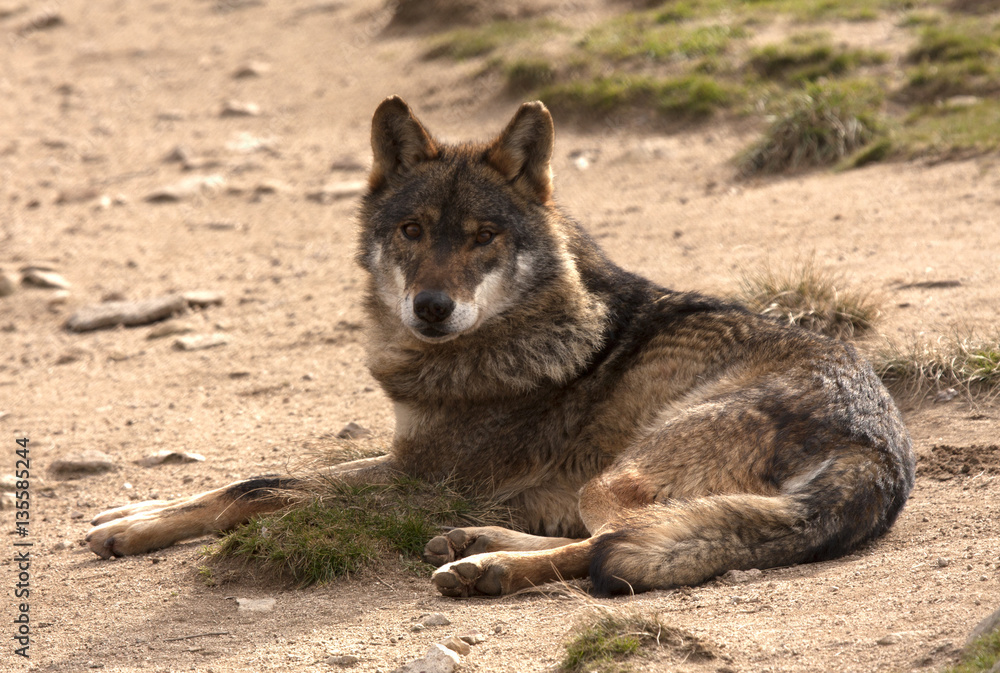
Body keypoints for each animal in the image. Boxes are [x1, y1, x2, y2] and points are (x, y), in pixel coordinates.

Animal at [86, 97, 916, 596]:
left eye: (484, 237)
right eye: (412, 229)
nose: (432, 306)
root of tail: (879, 454)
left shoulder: (421, 478)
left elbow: (256, 489)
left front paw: (137, 528)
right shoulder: (409, 458)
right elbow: (245, 476)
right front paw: (129, 512)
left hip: (618, 474)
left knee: (614, 546)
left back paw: (483, 564)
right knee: (608, 535)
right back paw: (474, 540)